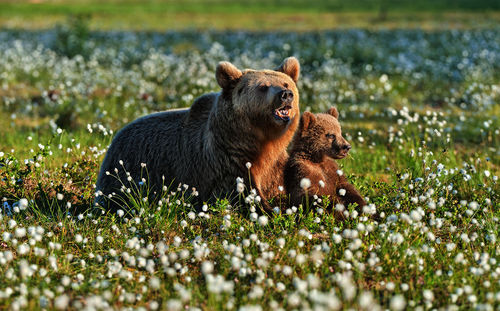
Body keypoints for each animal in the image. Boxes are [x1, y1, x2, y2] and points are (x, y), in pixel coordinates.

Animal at [96, 57, 300, 213]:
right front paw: (270, 210)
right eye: (263, 87)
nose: (285, 94)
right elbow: (241, 191)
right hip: (126, 174)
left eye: (285, 83)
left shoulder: (276, 166)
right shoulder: (225, 162)